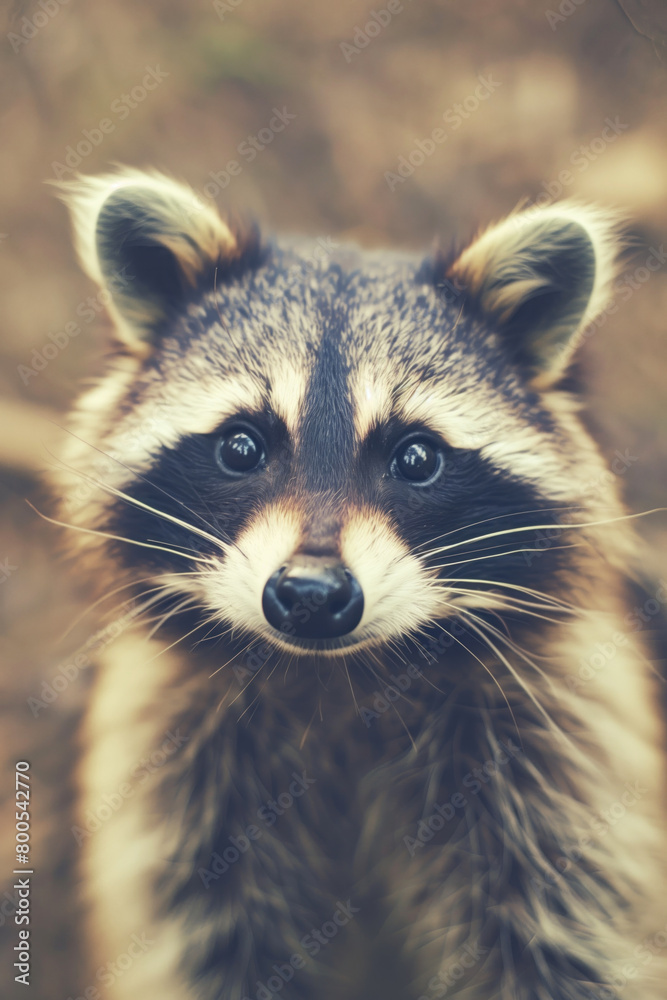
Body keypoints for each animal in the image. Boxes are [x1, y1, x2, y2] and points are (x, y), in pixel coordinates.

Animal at [50, 168, 667, 1000]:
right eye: (241, 446)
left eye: (415, 457)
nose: (311, 596)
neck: (337, 682)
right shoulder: (173, 761)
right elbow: (197, 935)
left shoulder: (557, 753)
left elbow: (566, 935)